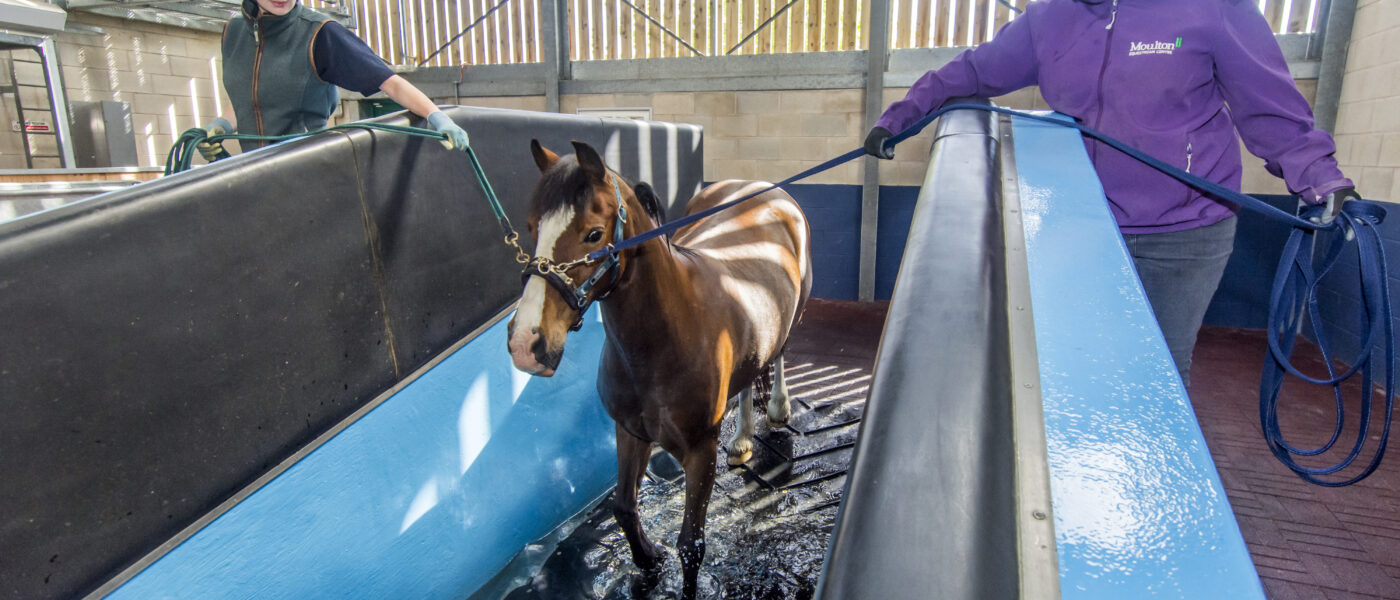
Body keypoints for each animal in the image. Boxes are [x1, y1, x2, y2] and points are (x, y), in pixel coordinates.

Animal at [506, 139, 812, 593]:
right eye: (533, 229)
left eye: (593, 234)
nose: (525, 342)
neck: (662, 343)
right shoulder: (630, 431)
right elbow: (623, 506)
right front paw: (648, 559)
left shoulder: (701, 451)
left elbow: (691, 544)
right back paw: (741, 439)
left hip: (795, 312)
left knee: (778, 355)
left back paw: (777, 408)